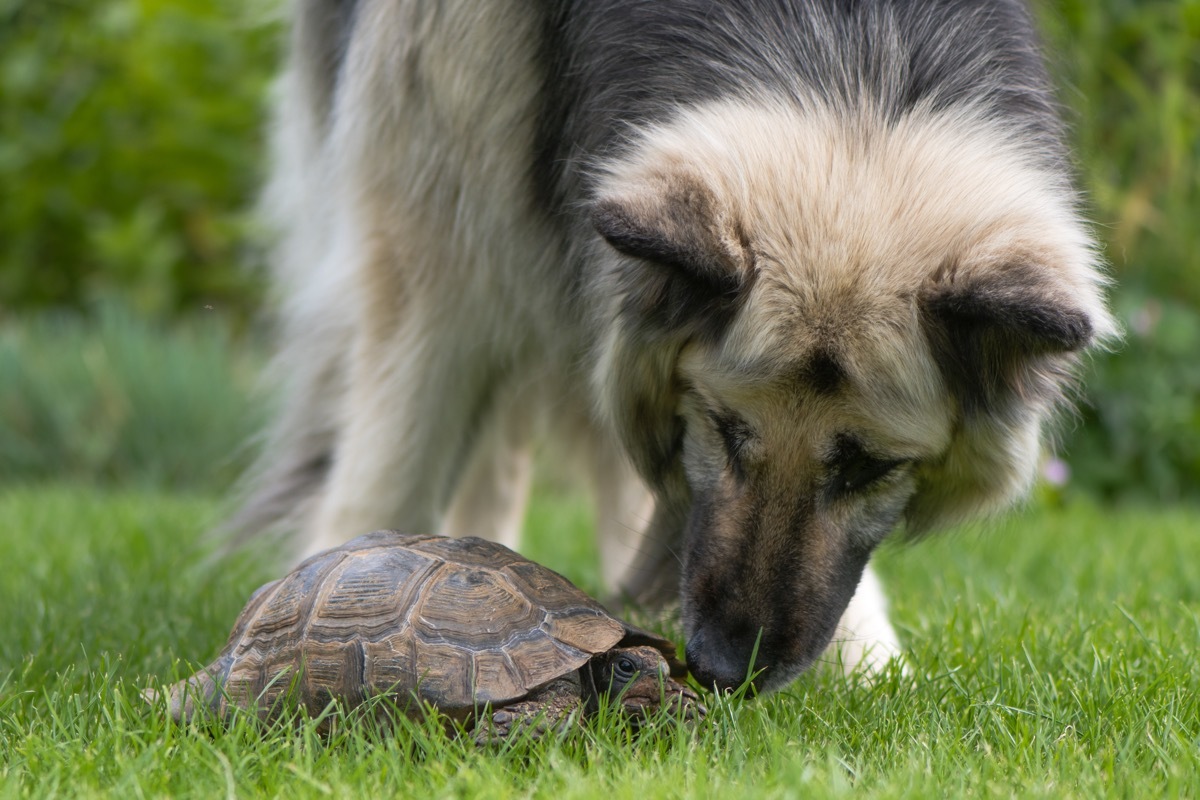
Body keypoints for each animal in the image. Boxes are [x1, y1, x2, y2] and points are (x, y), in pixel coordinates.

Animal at [234, 0, 1113, 690]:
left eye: (869, 467)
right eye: (724, 428)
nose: (724, 667)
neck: (852, 42)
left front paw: (867, 664)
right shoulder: (435, 229)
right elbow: (395, 457)